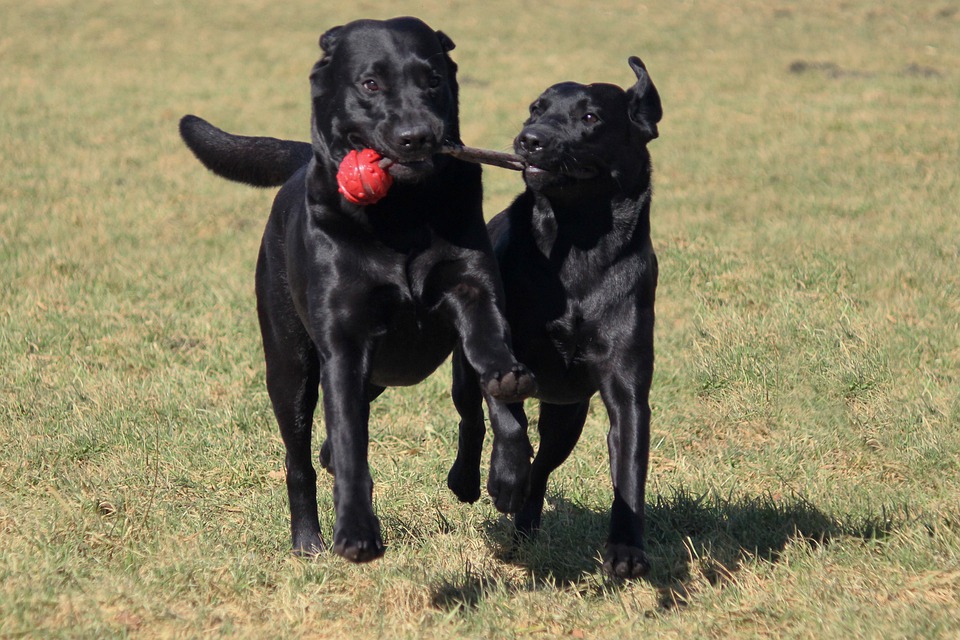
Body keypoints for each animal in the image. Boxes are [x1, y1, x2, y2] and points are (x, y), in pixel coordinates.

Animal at [178, 17, 532, 564]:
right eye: (370, 84)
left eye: (433, 79)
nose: (418, 136)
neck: (401, 215)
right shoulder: (343, 345)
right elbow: (349, 443)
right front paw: (356, 532)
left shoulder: (474, 293)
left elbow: (497, 380)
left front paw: (510, 473)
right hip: (290, 368)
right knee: (300, 459)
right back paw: (308, 541)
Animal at [448, 58, 660, 580]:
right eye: (535, 108)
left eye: (590, 117)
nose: (530, 139)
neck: (577, 243)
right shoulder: (500, 354)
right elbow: (505, 417)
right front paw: (503, 479)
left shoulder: (626, 387)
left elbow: (629, 467)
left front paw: (626, 550)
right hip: (464, 369)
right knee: (472, 418)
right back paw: (470, 481)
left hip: (569, 412)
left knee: (544, 462)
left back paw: (525, 519)